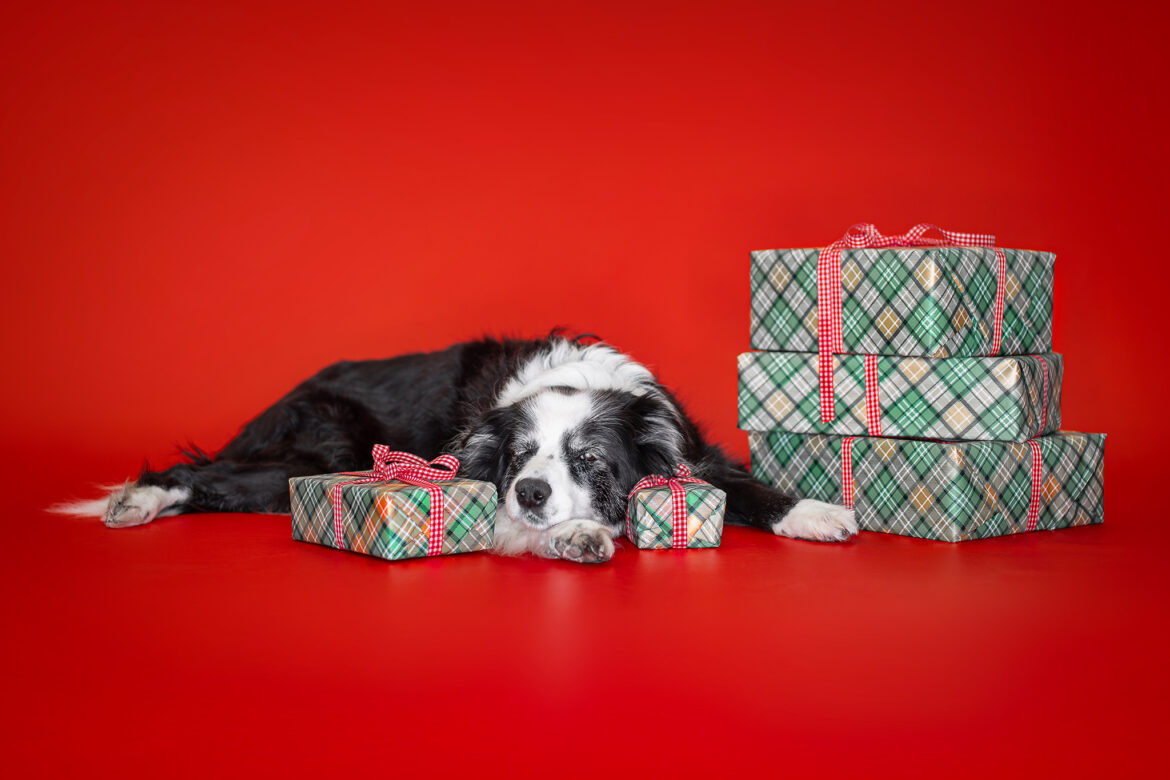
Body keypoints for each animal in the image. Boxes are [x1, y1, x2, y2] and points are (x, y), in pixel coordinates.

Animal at [64, 334, 856, 561]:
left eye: (590, 460)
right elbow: (512, 525)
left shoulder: (686, 445)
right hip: (325, 446)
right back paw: (139, 499)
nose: (532, 490)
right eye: (518, 458)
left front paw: (816, 513)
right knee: (197, 470)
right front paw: (573, 535)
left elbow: (746, 485)